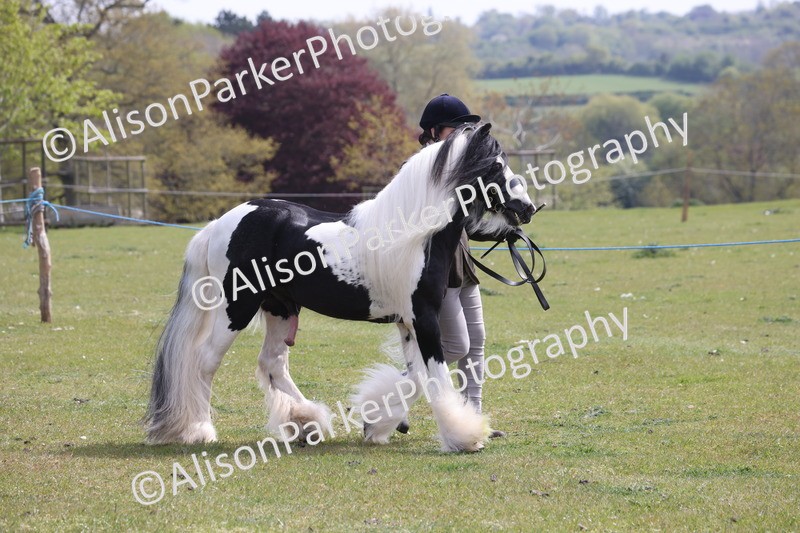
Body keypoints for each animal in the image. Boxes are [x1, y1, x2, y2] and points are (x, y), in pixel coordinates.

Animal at [145, 123, 537, 452]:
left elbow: (414, 377)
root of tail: (219, 224)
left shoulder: (407, 322)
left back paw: (306, 424)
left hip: (279, 307)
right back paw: (200, 431)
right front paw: (464, 437)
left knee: (272, 364)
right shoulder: (424, 317)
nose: (528, 208)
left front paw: (377, 425)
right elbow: (436, 376)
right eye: (496, 166)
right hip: (237, 308)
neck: (415, 237)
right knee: (205, 362)